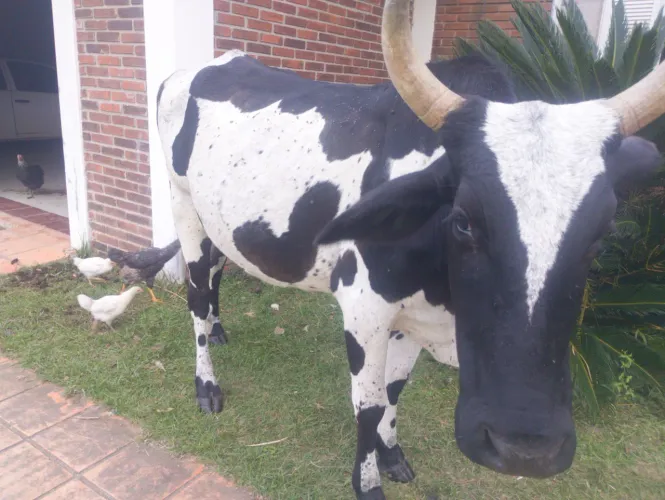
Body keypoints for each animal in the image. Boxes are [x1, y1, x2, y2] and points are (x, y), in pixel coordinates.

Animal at [156, 1, 665, 498]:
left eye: (602, 232)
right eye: (463, 220)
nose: (525, 449)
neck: (442, 298)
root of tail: (202, 67)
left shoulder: (415, 318)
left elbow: (393, 392)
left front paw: (392, 455)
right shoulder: (364, 309)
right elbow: (367, 404)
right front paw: (367, 483)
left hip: (217, 220)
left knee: (218, 268)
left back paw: (220, 330)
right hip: (183, 207)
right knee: (196, 295)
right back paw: (206, 383)